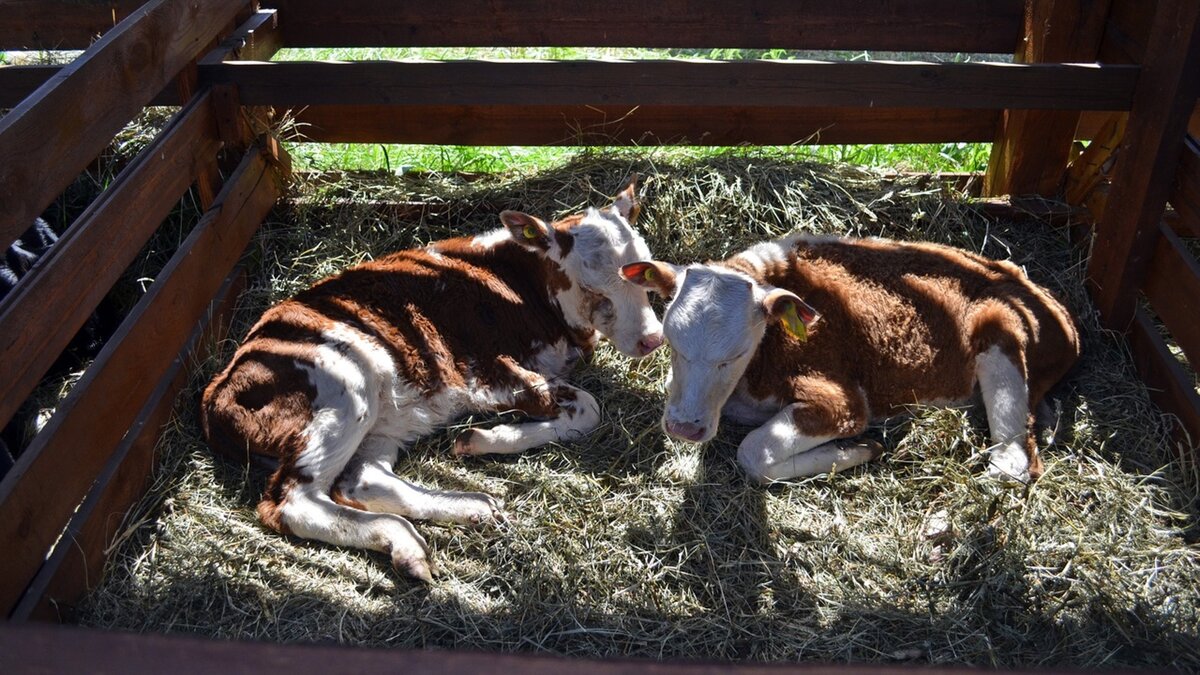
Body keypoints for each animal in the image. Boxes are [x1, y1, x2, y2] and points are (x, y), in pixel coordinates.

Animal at [200, 182, 662, 578]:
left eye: (646, 276)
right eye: (593, 288)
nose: (653, 338)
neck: (521, 284)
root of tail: (217, 389)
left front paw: (477, 440)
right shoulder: (487, 373)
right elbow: (587, 408)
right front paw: (484, 438)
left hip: (384, 418)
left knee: (360, 479)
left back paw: (470, 509)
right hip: (344, 390)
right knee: (294, 502)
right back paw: (406, 539)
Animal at [624, 233, 1084, 482]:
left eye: (734, 355)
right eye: (672, 344)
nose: (684, 428)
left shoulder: (842, 401)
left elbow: (754, 453)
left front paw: (859, 448)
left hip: (1001, 330)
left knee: (1013, 461)